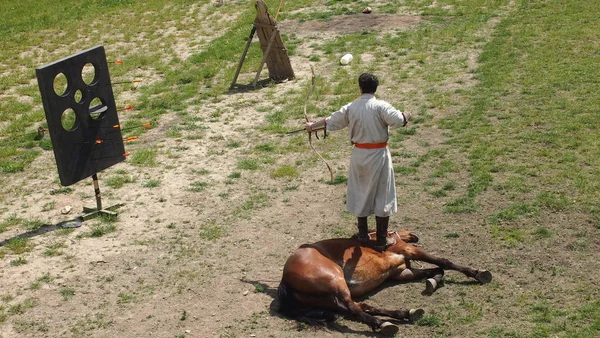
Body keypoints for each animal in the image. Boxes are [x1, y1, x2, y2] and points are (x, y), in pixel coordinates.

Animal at [278, 230, 492, 336]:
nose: (415, 235)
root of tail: (284, 279)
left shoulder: (402, 273)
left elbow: (437, 270)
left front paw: (432, 282)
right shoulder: (410, 252)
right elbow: (444, 262)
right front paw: (478, 273)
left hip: (327, 297)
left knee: (360, 307)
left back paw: (403, 314)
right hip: (335, 281)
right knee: (351, 307)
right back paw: (381, 324)